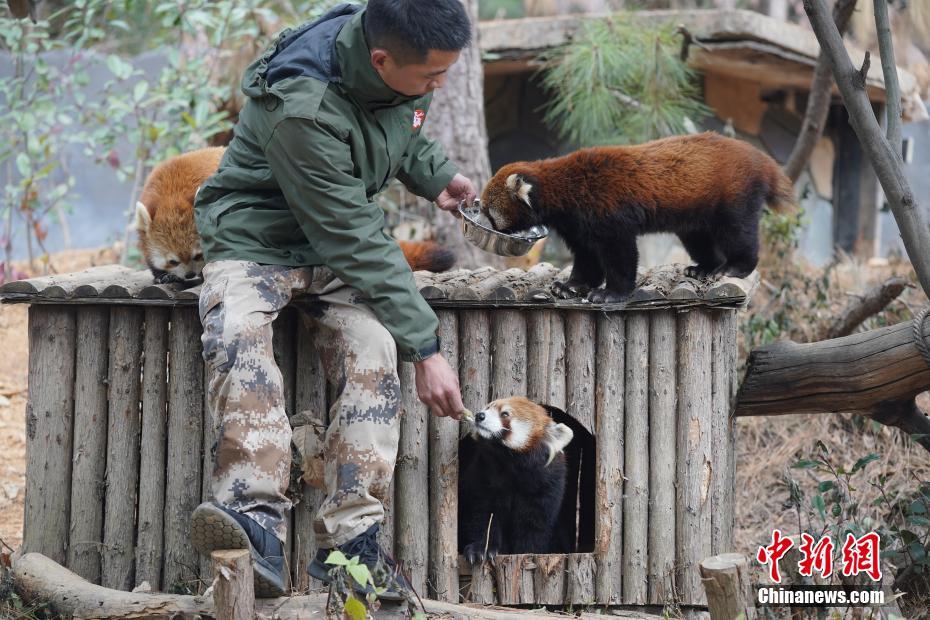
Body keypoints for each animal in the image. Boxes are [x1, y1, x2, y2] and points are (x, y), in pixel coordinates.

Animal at [456, 398, 572, 560]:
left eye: (505, 414)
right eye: (487, 407)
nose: (479, 415)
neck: (509, 463)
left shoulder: (548, 485)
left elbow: (534, 526)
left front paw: (526, 551)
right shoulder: (482, 476)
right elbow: (482, 516)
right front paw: (481, 549)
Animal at [478, 132, 792, 304]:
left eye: (487, 211)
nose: (480, 222)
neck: (565, 190)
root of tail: (760, 157)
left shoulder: (608, 213)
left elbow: (620, 255)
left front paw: (610, 293)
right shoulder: (578, 226)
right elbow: (587, 258)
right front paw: (571, 286)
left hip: (734, 194)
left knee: (738, 232)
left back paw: (736, 267)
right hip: (695, 216)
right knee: (699, 239)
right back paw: (704, 268)